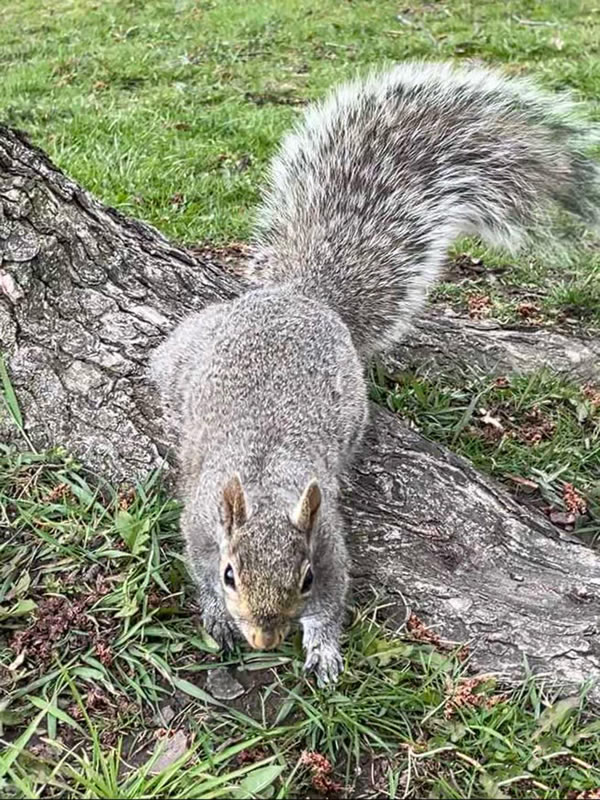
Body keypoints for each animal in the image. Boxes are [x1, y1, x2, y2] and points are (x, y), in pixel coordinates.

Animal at [149, 64, 596, 688]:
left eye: (305, 578)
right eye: (231, 574)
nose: (265, 638)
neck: (265, 484)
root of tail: (301, 298)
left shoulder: (329, 543)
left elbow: (335, 600)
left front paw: (323, 650)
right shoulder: (199, 527)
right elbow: (196, 566)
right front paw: (217, 617)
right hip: (190, 353)